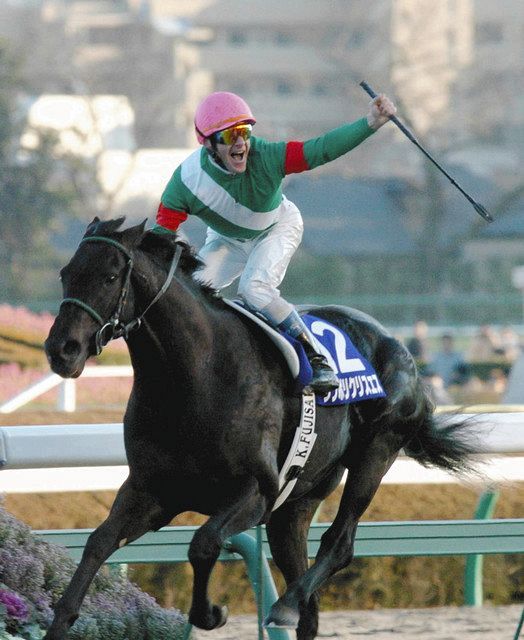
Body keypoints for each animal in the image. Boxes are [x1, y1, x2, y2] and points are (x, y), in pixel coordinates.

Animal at [44, 217, 478, 640]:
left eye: (110, 276)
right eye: (66, 274)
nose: (61, 349)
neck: (197, 375)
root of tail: (400, 349)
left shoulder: (257, 491)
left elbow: (203, 544)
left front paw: (211, 612)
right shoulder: (151, 491)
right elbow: (98, 542)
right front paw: (61, 619)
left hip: (375, 454)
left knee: (339, 544)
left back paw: (284, 605)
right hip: (297, 502)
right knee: (309, 603)